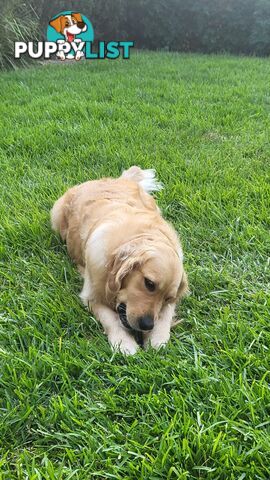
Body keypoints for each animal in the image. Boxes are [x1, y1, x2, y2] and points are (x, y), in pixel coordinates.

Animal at [50, 167, 188, 354]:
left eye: (168, 298)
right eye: (149, 283)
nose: (147, 325)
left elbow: (164, 318)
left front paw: (157, 340)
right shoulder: (92, 295)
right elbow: (111, 319)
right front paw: (125, 343)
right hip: (56, 215)